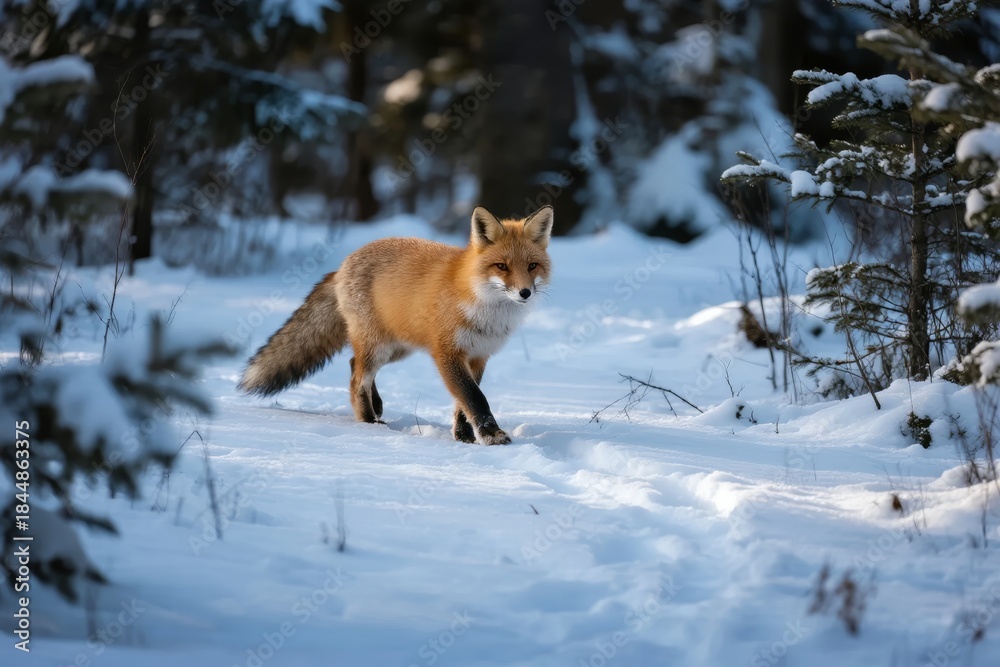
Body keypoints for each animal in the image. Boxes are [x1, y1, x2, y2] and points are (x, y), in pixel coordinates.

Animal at [237, 205, 553, 445]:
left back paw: (375, 407)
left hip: (396, 349)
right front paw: (491, 435)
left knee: (353, 364)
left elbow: (462, 404)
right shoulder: (448, 353)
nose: (525, 293)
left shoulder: (478, 355)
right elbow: (474, 397)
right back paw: (368, 421)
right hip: (378, 346)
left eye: (532, 266)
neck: (483, 307)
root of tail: (341, 266)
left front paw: (464, 437)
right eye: (502, 266)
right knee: (357, 379)